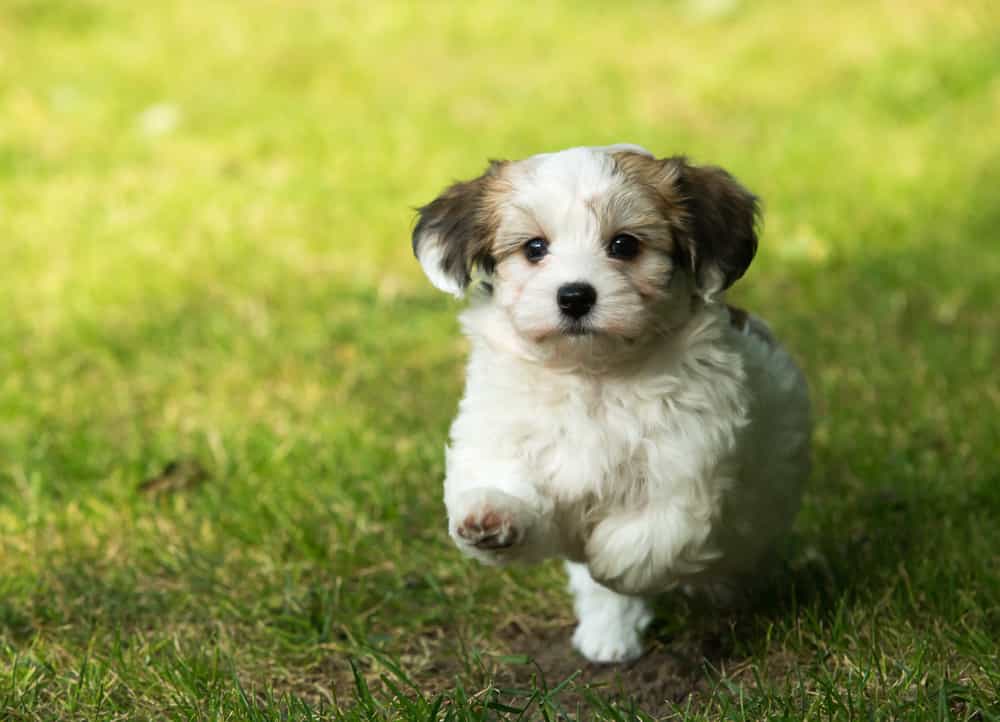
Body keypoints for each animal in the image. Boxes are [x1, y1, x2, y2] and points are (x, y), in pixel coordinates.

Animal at [410, 143, 808, 660]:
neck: (593, 375)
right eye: (534, 248)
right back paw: (608, 636)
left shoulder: (688, 463)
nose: (575, 296)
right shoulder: (503, 432)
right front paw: (491, 517)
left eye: (624, 245)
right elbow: (505, 486)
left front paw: (607, 561)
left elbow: (651, 537)